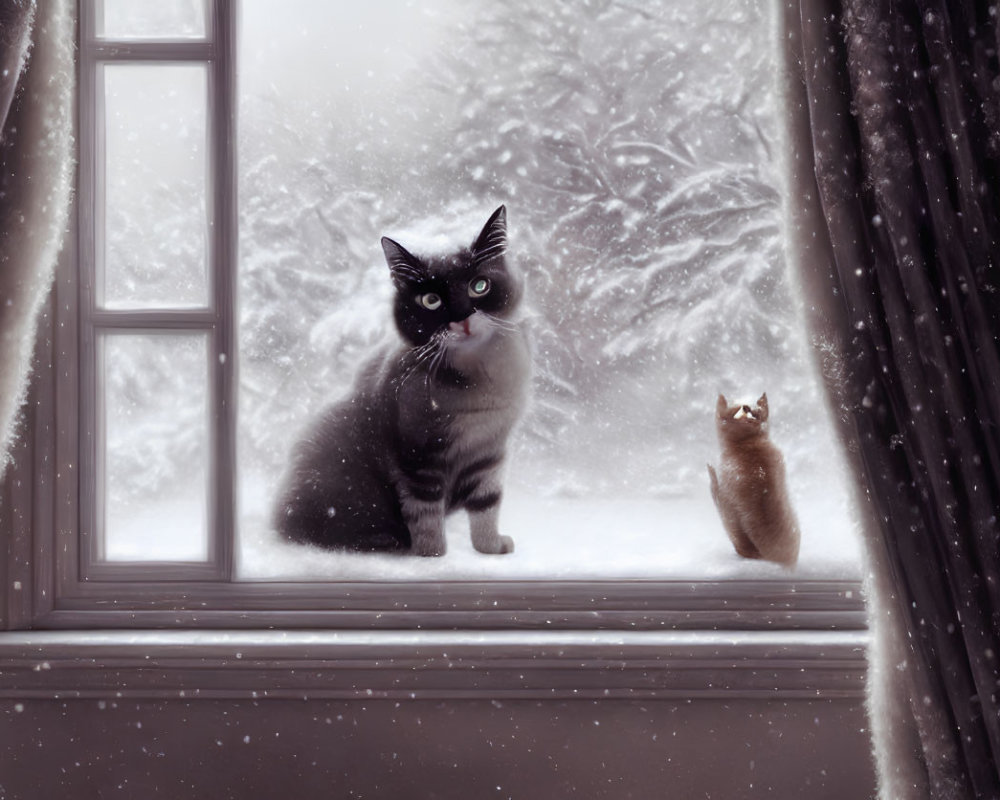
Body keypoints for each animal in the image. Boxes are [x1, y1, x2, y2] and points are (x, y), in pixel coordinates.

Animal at [270, 206, 528, 556]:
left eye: (479, 286)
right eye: (431, 300)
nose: (462, 318)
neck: (474, 376)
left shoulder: (489, 450)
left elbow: (487, 503)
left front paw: (490, 546)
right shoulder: (417, 452)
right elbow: (425, 511)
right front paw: (433, 554)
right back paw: (384, 540)